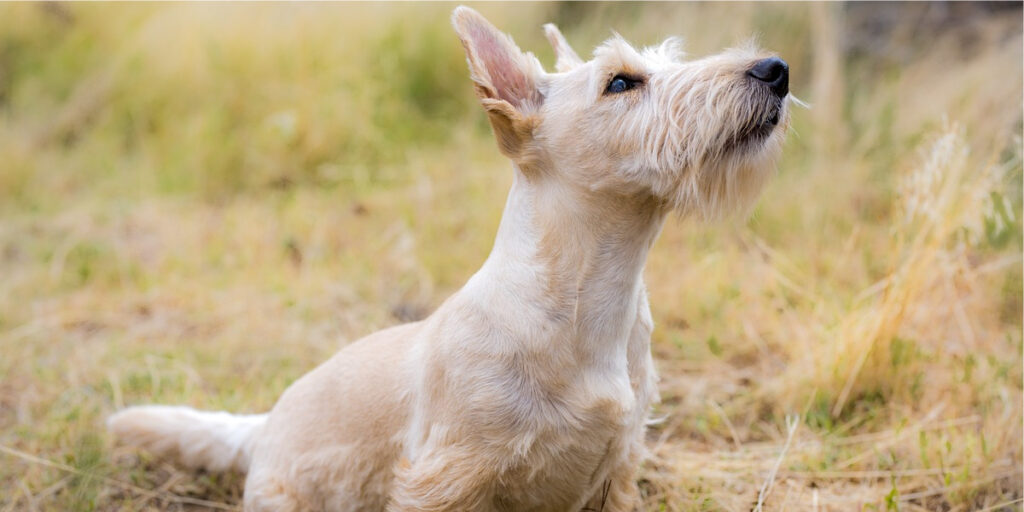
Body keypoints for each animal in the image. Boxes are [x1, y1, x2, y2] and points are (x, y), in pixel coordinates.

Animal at [110, 6, 790, 509]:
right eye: (621, 82)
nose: (775, 68)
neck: (589, 297)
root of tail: (261, 426)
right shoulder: (446, 478)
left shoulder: (616, 470)